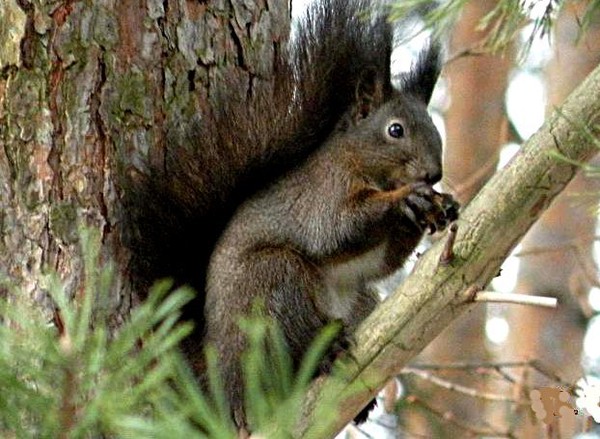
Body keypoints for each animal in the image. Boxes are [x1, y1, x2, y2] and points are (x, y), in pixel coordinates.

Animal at [122, 0, 460, 434]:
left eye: (434, 127)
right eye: (395, 130)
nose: (433, 174)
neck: (361, 163)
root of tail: (224, 386)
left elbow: (383, 261)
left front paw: (443, 205)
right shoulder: (324, 192)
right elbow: (338, 229)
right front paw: (406, 201)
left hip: (359, 300)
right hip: (272, 284)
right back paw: (326, 352)